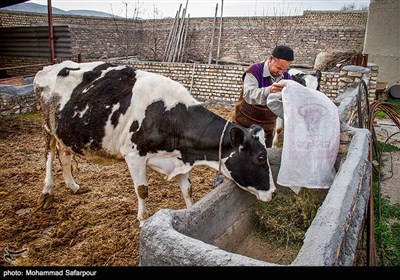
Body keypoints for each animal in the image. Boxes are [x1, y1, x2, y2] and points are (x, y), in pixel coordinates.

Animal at [34, 60, 276, 226]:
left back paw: (73, 185)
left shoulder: (178, 157)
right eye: (260, 157)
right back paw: (47, 192)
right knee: (49, 157)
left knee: (65, 156)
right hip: (47, 128)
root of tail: (49, 67)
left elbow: (187, 189)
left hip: (65, 132)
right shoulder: (133, 155)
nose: (274, 193)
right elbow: (142, 190)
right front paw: (143, 221)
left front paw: (191, 213)